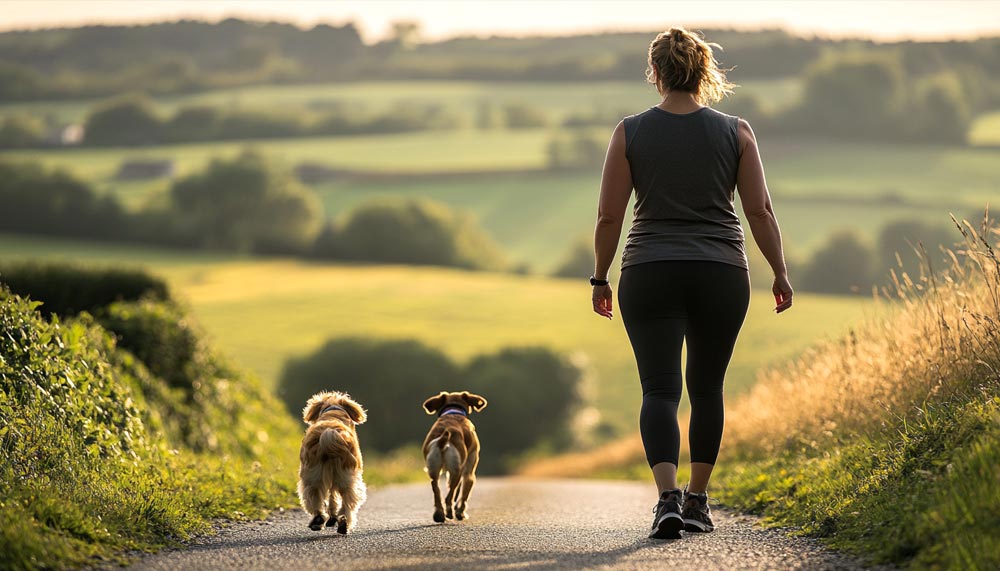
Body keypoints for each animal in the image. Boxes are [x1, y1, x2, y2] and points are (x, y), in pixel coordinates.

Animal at [296, 392, 368, 536]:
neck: (333, 411)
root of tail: (327, 434)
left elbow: (331, 498)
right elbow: (333, 497)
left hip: (313, 477)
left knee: (315, 497)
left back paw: (319, 521)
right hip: (344, 476)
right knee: (348, 502)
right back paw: (343, 524)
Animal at [420, 392, 486, 524]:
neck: (454, 412)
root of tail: (442, 440)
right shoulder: (469, 472)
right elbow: (464, 495)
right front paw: (461, 513)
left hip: (434, 470)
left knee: (436, 490)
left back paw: (439, 515)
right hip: (457, 472)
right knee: (449, 496)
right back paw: (449, 513)